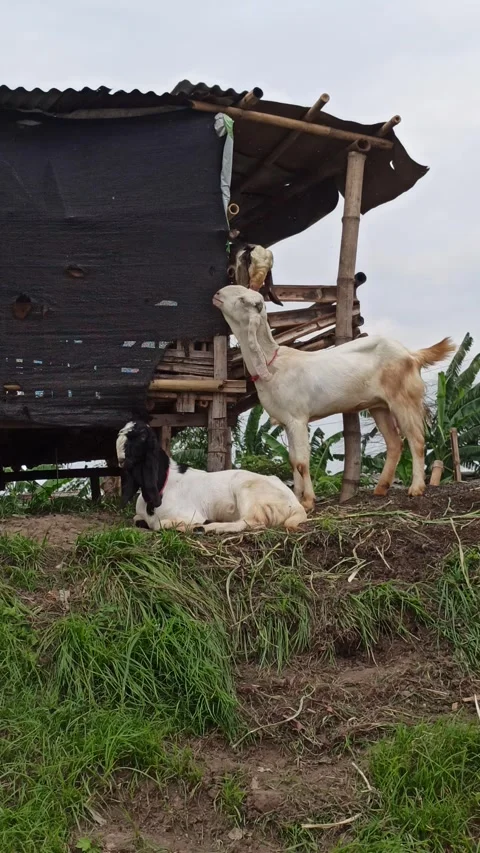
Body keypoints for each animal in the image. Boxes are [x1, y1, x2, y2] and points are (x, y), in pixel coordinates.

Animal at [116, 420, 307, 533]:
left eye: (142, 436)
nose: (121, 459)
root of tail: (295, 504)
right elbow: (137, 519)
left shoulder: (190, 514)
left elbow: (158, 524)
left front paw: (189, 526)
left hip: (246, 488)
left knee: (251, 522)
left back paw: (209, 526)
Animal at [213, 284, 456, 509]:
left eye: (243, 299)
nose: (217, 294)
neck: (274, 364)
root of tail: (412, 355)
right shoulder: (287, 422)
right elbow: (292, 461)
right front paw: (297, 498)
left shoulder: (298, 419)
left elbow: (301, 462)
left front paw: (308, 501)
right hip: (380, 406)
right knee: (395, 443)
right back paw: (380, 488)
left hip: (403, 399)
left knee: (416, 440)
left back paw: (416, 488)